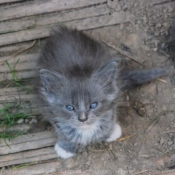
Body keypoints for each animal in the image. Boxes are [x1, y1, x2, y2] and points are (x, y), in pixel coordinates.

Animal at [36, 26, 166, 159]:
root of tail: (62, 31)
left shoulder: (114, 96)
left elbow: (110, 117)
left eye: (93, 105)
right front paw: (66, 147)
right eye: (70, 107)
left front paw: (110, 132)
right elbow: (62, 130)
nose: (83, 119)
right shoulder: (48, 107)